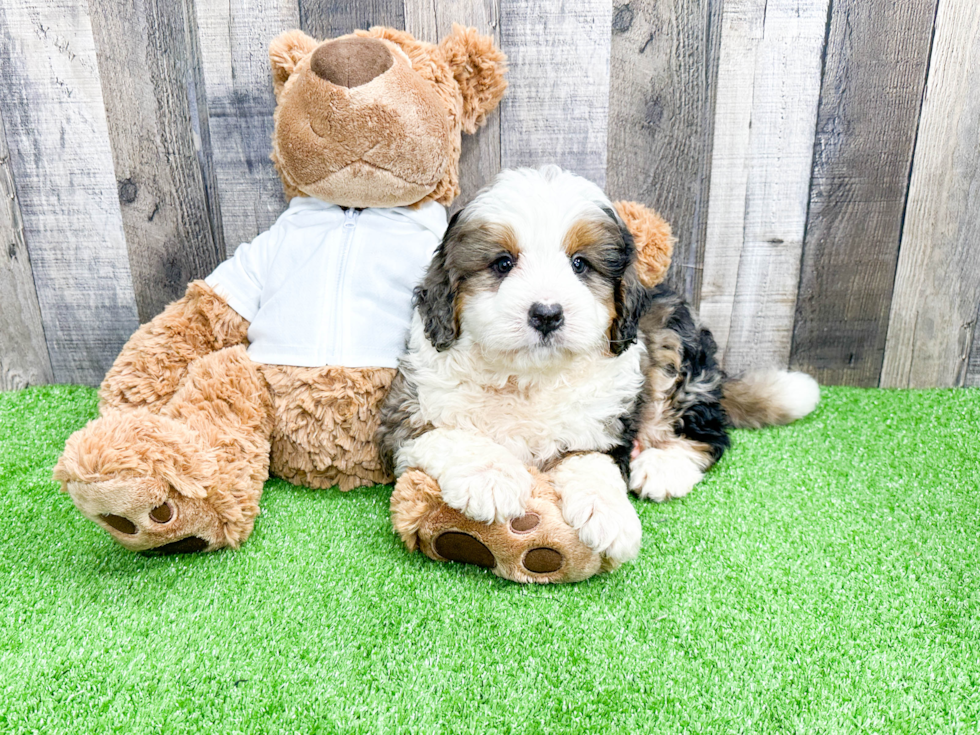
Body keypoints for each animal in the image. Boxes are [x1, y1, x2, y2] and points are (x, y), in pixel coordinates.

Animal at [378, 165, 824, 576]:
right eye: (502, 263)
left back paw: (664, 465)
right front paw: (492, 478)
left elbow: (592, 463)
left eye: (580, 264)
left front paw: (608, 515)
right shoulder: (403, 415)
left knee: (709, 428)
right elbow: (449, 435)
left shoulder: (603, 426)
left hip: (673, 338)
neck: (530, 378)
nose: (547, 314)